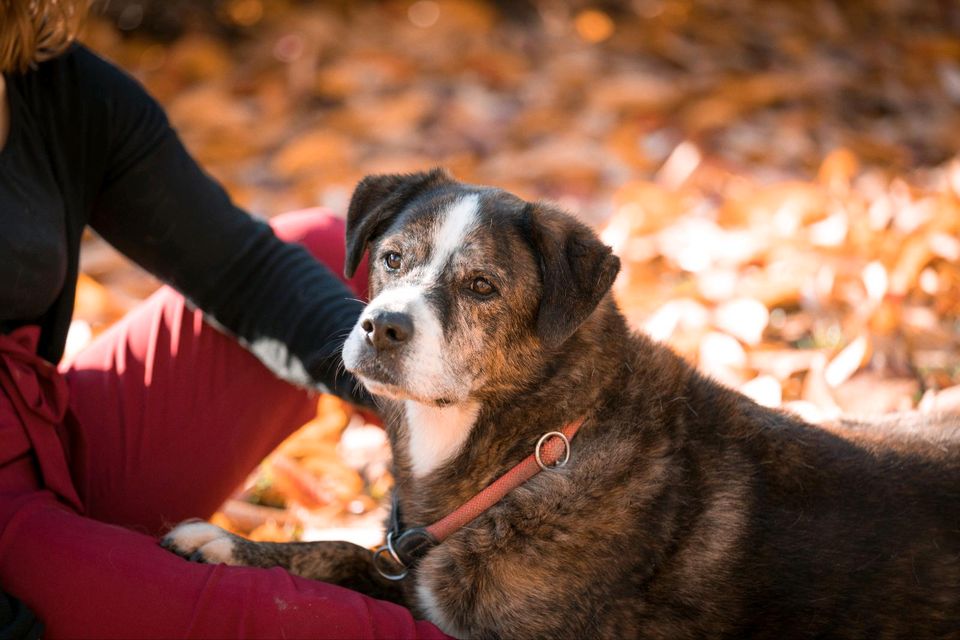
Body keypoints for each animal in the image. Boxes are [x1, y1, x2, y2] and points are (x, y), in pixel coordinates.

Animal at [165, 168, 960, 636]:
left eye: (482, 286)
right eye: (392, 258)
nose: (381, 326)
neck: (537, 449)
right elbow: (346, 553)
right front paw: (229, 546)